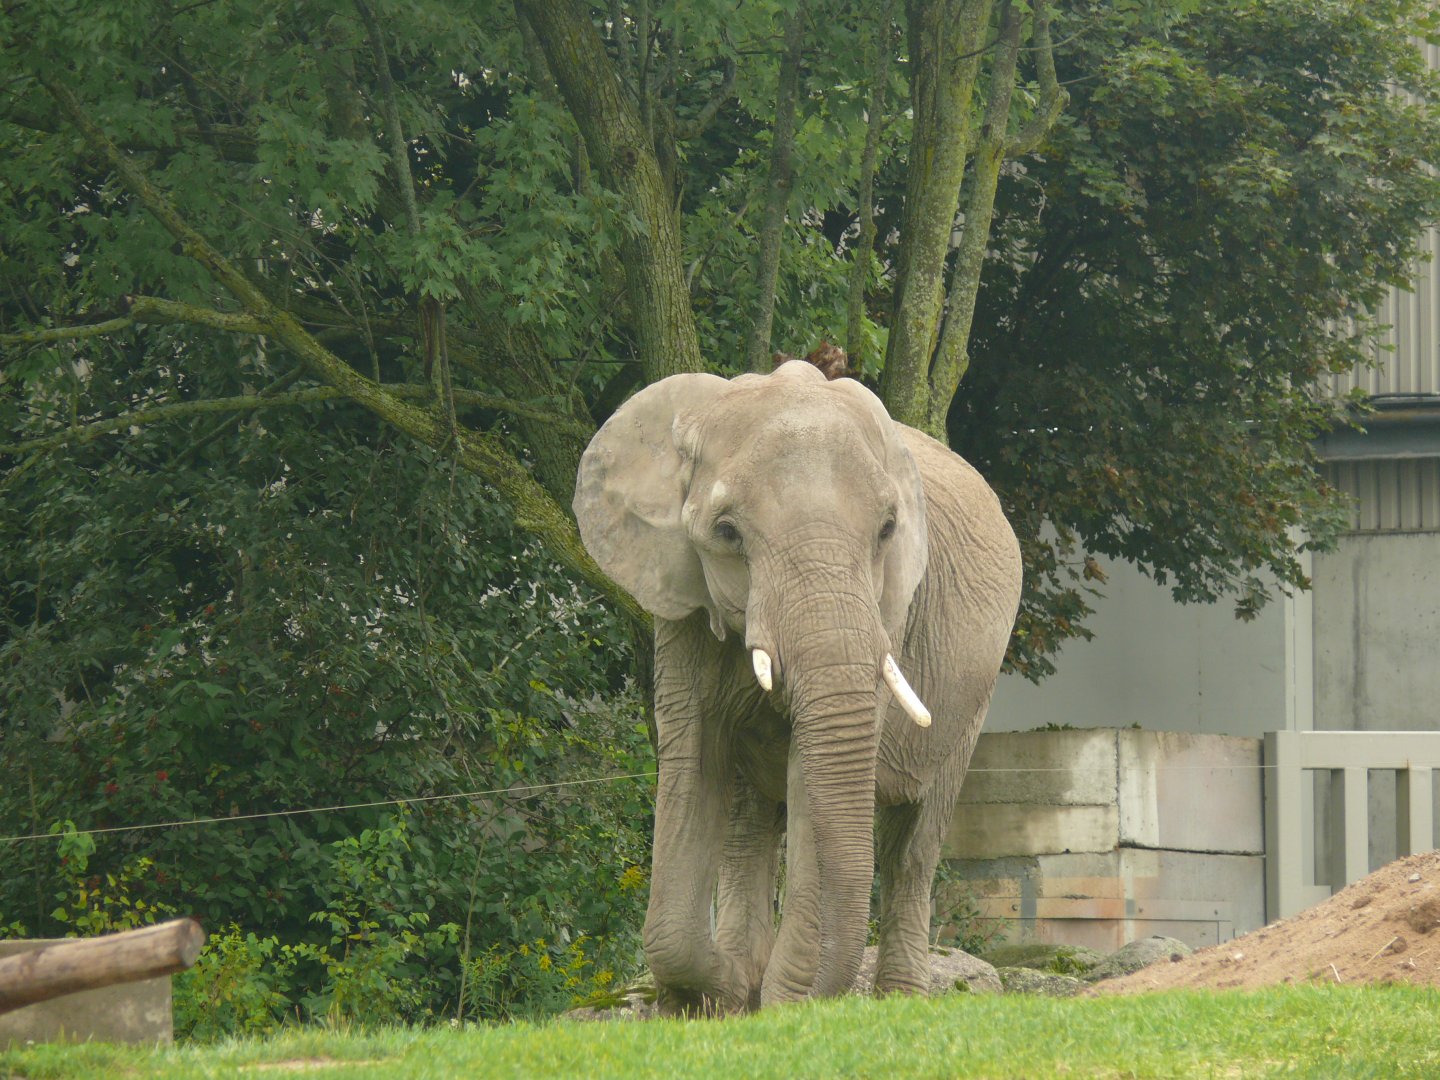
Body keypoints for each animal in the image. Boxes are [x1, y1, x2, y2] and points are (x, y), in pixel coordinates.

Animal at [573, 359, 1022, 1012]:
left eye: (888, 529)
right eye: (727, 533)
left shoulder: (887, 610)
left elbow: (812, 775)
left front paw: (781, 1006)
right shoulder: (681, 602)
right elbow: (693, 758)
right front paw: (722, 996)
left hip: (973, 698)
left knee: (913, 842)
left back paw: (896, 1000)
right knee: (747, 821)